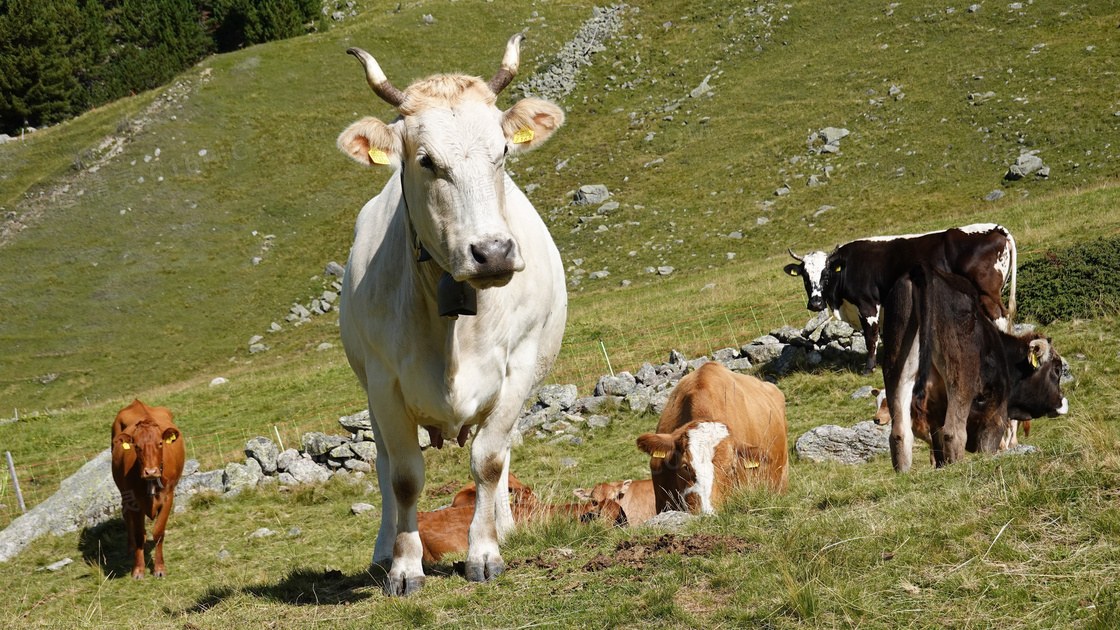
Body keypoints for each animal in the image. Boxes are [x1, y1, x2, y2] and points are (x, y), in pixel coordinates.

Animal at [110, 399, 184, 578]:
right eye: (136, 446)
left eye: (160, 443)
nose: (150, 471)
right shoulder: (134, 500)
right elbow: (139, 534)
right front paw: (138, 569)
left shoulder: (168, 497)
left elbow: (158, 532)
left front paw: (159, 568)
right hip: (123, 491)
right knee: (126, 514)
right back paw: (130, 548)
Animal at [333, 34, 568, 591]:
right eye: (425, 161)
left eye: (502, 152)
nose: (494, 252)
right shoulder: (385, 384)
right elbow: (402, 477)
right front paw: (403, 566)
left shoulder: (517, 368)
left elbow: (488, 463)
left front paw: (485, 552)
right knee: (382, 464)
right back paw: (382, 551)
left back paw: (504, 524)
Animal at [788, 223, 1016, 372]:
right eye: (805, 277)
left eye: (826, 274)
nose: (816, 303)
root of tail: (994, 228)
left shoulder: (867, 305)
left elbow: (870, 337)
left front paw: (869, 368)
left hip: (988, 294)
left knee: (1001, 318)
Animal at [882, 261, 1066, 470]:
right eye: (1057, 370)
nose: (1061, 400)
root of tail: (923, 269)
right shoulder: (995, 415)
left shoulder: (935, 415)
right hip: (960, 379)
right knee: (953, 432)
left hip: (896, 369)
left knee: (900, 434)